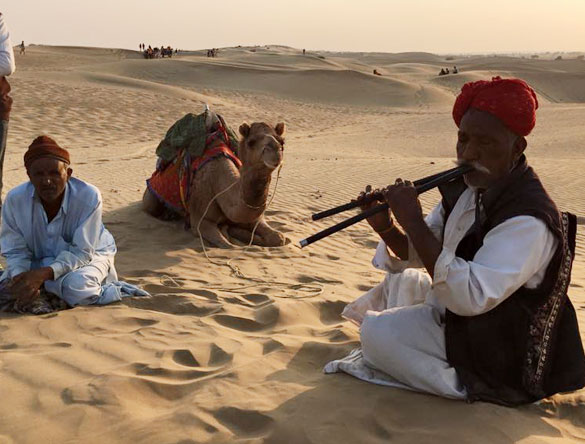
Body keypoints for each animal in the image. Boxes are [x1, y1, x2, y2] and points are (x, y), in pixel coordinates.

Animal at [142, 116, 288, 248]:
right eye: (251, 142)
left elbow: (278, 237)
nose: (275, 151)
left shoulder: (253, 217)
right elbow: (229, 245)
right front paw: (232, 232)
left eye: (282, 141)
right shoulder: (200, 220)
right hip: (151, 199)